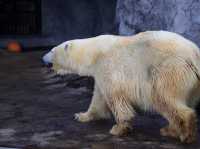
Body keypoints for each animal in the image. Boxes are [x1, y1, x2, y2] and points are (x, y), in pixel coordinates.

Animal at [43, 30, 200, 143]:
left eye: (51, 50)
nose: (43, 59)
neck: (94, 54)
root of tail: (194, 54)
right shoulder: (100, 74)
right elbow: (98, 99)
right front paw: (81, 116)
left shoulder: (109, 67)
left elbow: (116, 98)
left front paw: (118, 129)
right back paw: (169, 130)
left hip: (168, 70)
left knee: (163, 97)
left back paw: (184, 134)